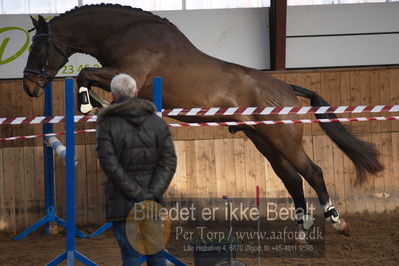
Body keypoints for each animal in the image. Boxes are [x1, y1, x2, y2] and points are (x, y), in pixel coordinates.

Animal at [22, 4, 384, 236]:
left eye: (38, 45)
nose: (29, 86)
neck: (126, 33)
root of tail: (286, 88)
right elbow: (88, 80)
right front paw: (95, 105)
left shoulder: (126, 75)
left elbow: (83, 74)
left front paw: (87, 106)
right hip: (265, 141)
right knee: (292, 179)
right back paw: (302, 228)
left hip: (283, 140)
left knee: (313, 172)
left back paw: (337, 221)